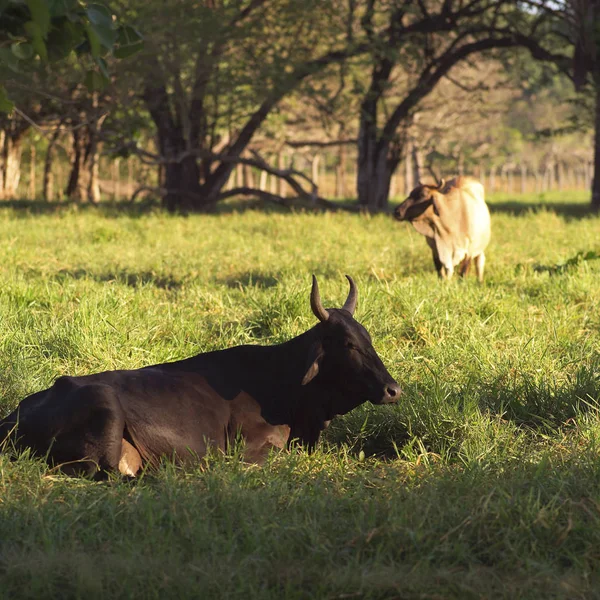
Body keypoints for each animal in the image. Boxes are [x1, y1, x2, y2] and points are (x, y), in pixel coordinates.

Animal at [1, 274, 404, 476]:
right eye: (348, 344)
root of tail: (13, 416)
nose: (393, 389)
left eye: (368, 338)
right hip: (104, 405)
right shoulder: (250, 449)